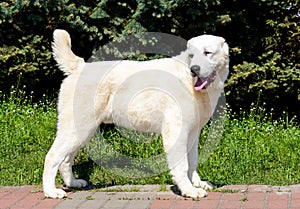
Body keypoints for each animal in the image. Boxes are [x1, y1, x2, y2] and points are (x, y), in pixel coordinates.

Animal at [42, 29, 230, 198]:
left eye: (207, 53)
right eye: (191, 55)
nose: (194, 69)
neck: (188, 80)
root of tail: (80, 66)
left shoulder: (193, 132)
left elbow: (193, 162)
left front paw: (197, 183)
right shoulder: (176, 131)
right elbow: (182, 165)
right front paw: (189, 190)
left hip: (83, 131)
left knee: (66, 159)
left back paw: (73, 183)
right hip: (79, 127)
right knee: (52, 156)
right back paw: (51, 191)